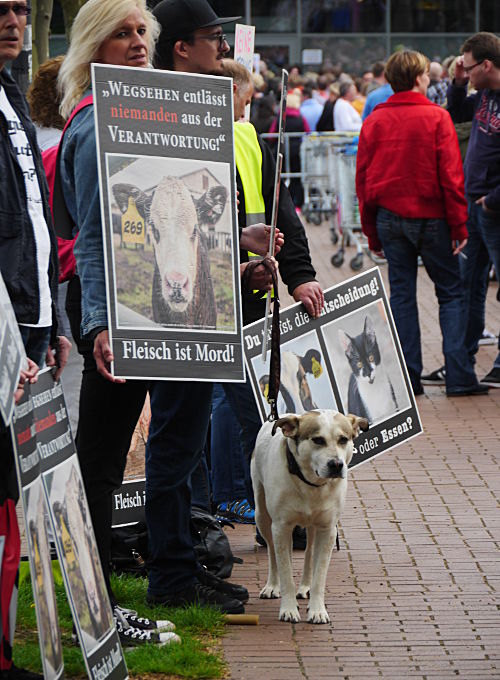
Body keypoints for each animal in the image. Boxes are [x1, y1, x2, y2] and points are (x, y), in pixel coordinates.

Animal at [252, 410, 370, 620]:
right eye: (318, 440)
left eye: (343, 439)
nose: (336, 464)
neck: (311, 484)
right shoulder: (281, 527)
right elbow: (285, 570)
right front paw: (288, 609)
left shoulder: (328, 529)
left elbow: (319, 575)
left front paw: (317, 610)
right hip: (262, 516)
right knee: (273, 552)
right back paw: (272, 586)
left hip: (313, 527)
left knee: (308, 553)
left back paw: (305, 586)